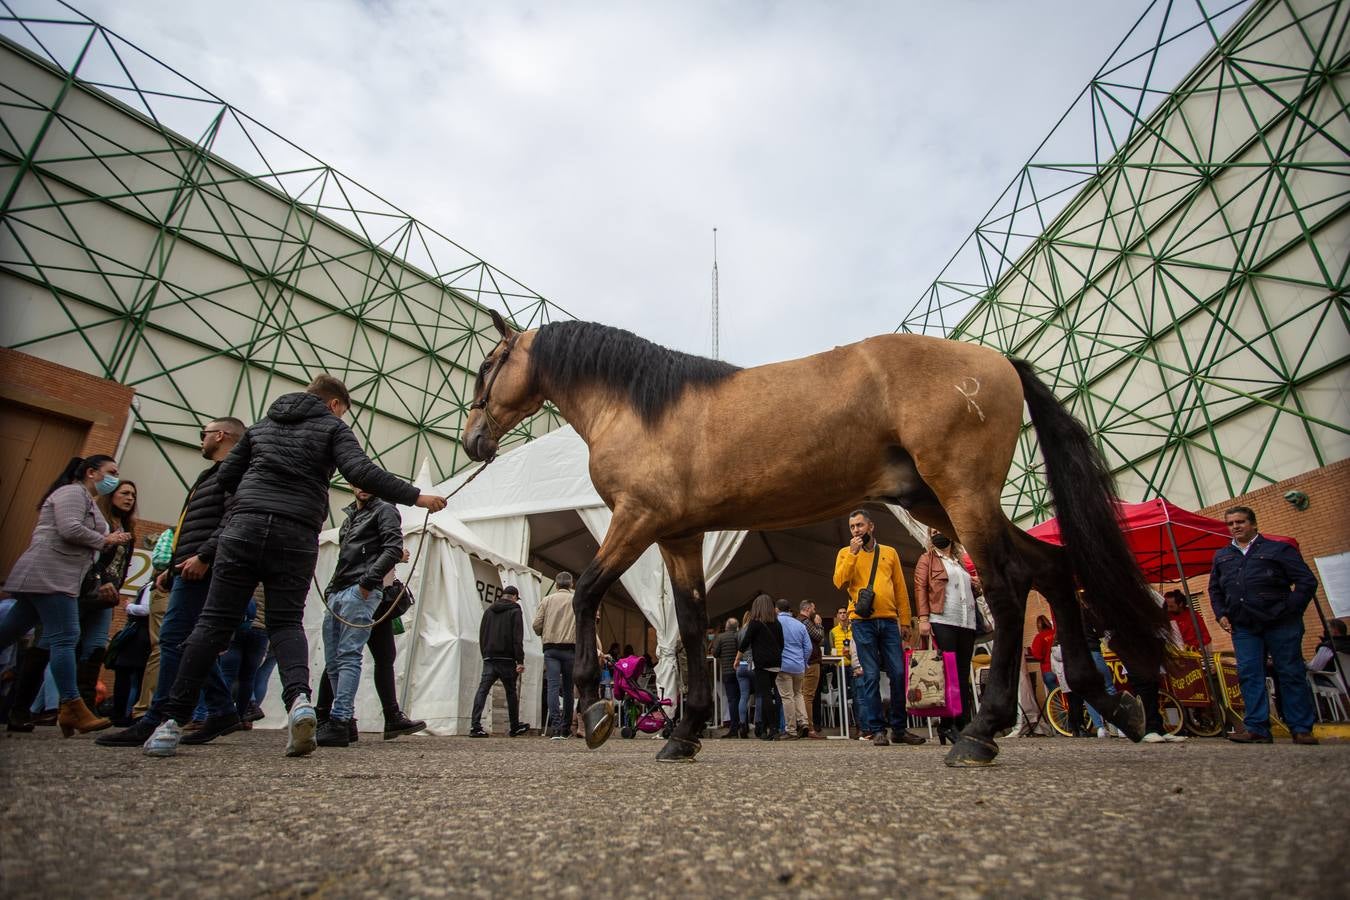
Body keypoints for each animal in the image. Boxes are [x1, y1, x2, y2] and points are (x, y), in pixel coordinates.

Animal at [461, 313, 1161, 766]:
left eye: (488, 365)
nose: (473, 442)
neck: (640, 406)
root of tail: (996, 361)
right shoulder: (680, 537)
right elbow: (690, 627)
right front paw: (683, 733)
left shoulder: (638, 521)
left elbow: (584, 594)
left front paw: (594, 711)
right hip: (939, 499)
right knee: (1053, 565)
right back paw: (1114, 704)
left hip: (962, 495)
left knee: (1011, 586)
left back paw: (980, 733)